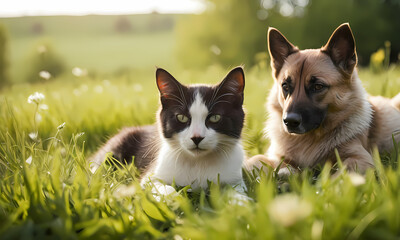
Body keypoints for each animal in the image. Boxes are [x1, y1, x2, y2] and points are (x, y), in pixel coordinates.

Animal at [90, 66, 247, 196]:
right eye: (182, 117)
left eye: (215, 117)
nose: (196, 137)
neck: (198, 162)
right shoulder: (151, 176)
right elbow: (160, 186)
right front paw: (174, 200)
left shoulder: (235, 178)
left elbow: (237, 191)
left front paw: (240, 203)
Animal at [247, 23, 400, 174]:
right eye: (285, 86)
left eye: (318, 86)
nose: (289, 121)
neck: (308, 139)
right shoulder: (276, 157)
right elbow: (255, 160)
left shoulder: (360, 159)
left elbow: (340, 175)